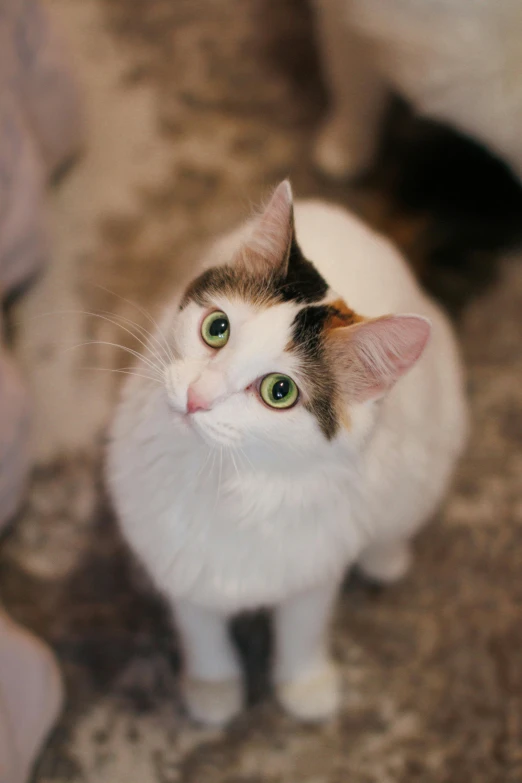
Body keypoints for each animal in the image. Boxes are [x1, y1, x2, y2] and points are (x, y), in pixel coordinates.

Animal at [104, 184, 464, 728]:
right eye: (216, 328)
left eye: (279, 391)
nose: (197, 397)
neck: (226, 479)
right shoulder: (180, 560)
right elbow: (200, 629)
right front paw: (213, 686)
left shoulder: (315, 567)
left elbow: (303, 630)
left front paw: (306, 685)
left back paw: (385, 557)